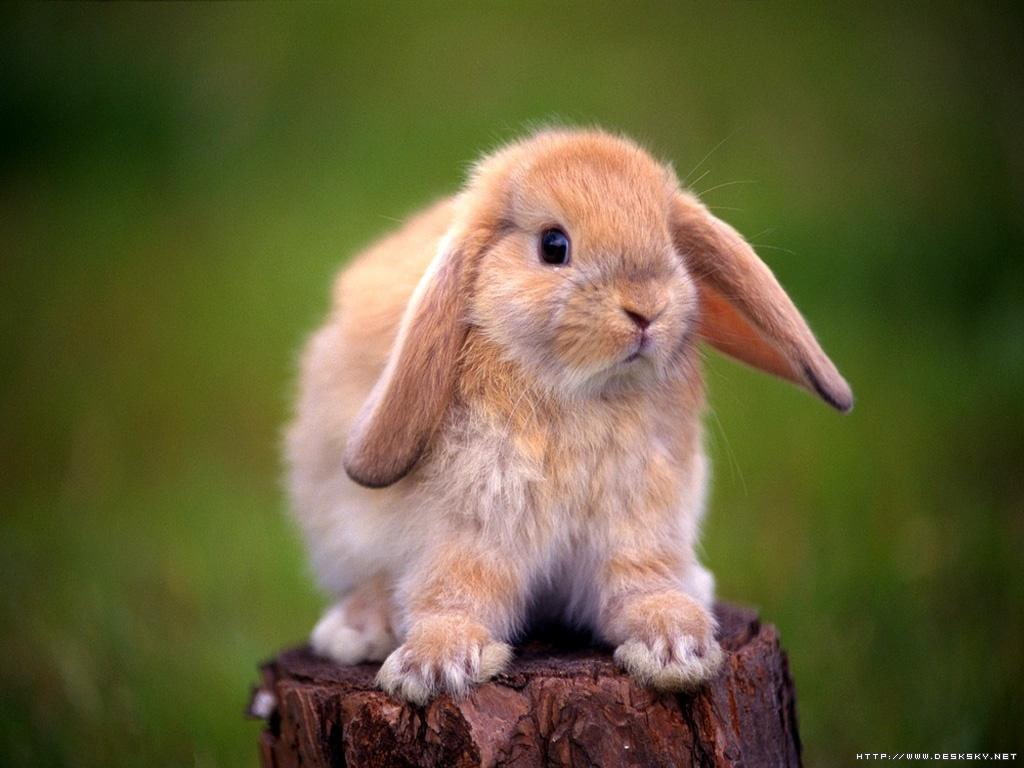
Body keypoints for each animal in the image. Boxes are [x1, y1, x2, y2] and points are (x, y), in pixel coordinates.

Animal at [285, 128, 852, 705]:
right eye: (553, 246)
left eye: (670, 242)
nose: (646, 309)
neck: (583, 392)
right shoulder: (471, 528)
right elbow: (454, 593)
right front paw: (432, 667)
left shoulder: (638, 524)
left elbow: (640, 586)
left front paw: (677, 648)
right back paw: (356, 631)